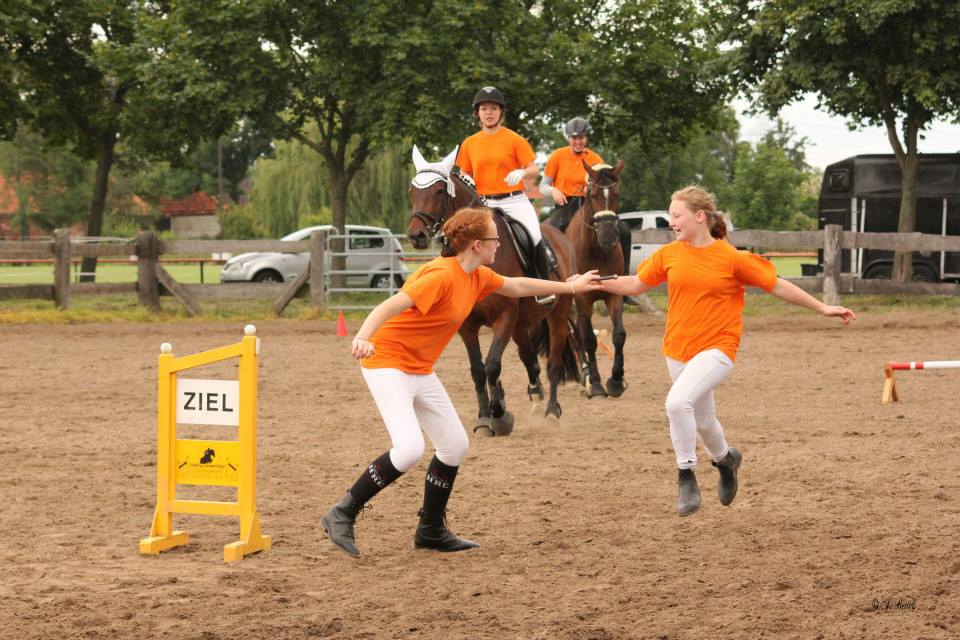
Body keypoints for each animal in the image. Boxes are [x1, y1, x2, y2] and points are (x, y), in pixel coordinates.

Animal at [407, 145, 581, 434]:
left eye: (440, 191)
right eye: (412, 190)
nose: (416, 236)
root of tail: (561, 238)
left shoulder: (504, 317)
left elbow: (491, 366)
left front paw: (499, 415)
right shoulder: (468, 325)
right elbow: (478, 370)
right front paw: (483, 416)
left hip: (556, 315)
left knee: (553, 363)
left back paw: (551, 411)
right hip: (522, 325)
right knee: (529, 359)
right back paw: (536, 398)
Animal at [564, 160, 628, 399]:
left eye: (617, 193)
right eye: (592, 194)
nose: (608, 236)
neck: (597, 252)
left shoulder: (614, 294)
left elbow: (619, 335)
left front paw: (616, 381)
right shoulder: (582, 299)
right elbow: (589, 340)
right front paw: (598, 384)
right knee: (575, 336)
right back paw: (586, 376)